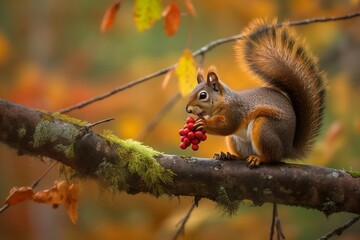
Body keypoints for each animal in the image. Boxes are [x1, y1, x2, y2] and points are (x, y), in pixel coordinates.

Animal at [186, 19, 326, 168]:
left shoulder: (234, 111)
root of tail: (287, 149)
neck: (223, 101)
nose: (188, 109)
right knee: (244, 156)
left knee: (273, 158)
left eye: (203, 95)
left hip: (264, 128)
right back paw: (230, 156)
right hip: (235, 140)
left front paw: (204, 124)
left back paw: (259, 159)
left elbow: (228, 126)